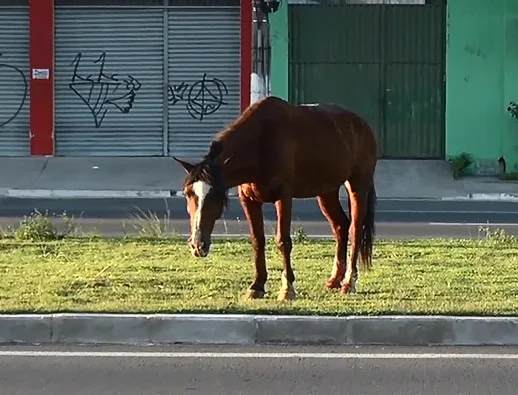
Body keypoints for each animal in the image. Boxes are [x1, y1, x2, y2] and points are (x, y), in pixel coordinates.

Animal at [174, 96, 378, 300]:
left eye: (215, 195)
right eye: (188, 193)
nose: (198, 244)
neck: (260, 143)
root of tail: (363, 124)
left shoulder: (284, 197)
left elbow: (283, 241)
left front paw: (287, 289)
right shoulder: (248, 200)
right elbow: (258, 240)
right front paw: (256, 286)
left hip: (358, 185)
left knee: (355, 230)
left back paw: (349, 282)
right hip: (327, 190)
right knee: (340, 226)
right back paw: (335, 280)